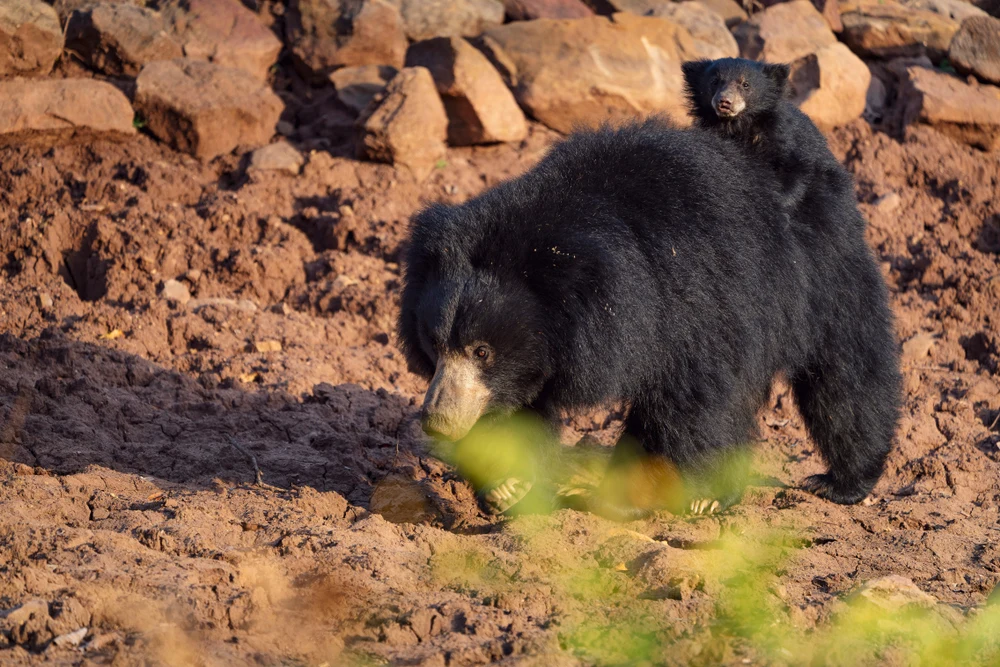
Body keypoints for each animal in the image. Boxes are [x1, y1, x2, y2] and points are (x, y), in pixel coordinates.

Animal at [397, 116, 901, 520]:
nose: (437, 419)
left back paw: (839, 483)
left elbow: (688, 400)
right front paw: (509, 487)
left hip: (821, 272)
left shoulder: (685, 302)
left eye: (482, 351)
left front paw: (634, 498)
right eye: (434, 345)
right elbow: (517, 410)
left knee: (845, 373)